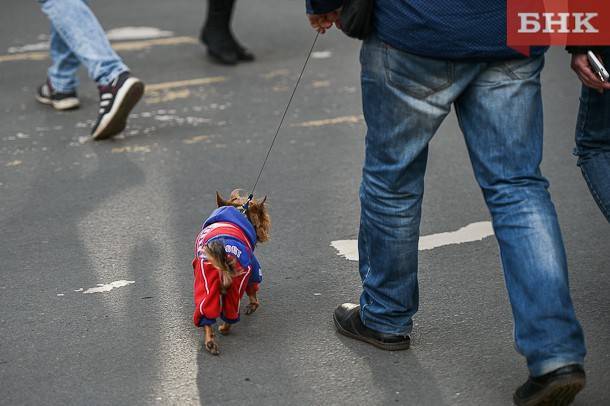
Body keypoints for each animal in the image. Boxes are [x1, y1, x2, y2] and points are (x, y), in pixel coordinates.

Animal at [191, 190, 270, 356]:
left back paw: (212, 340)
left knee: (208, 311)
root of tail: (226, 255)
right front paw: (252, 306)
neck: (240, 211)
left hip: (206, 278)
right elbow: (254, 292)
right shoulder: (252, 267)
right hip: (238, 278)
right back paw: (221, 331)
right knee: (230, 311)